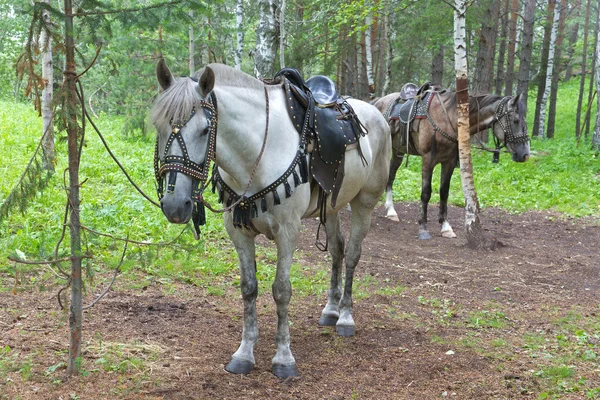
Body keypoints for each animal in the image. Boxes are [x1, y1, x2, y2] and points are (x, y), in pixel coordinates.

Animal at [376, 85, 528, 239]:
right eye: (516, 120)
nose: (525, 154)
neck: (449, 119)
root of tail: (378, 101)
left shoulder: (449, 162)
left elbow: (444, 192)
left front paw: (445, 226)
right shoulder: (427, 160)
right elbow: (426, 193)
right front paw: (423, 228)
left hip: (398, 151)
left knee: (391, 176)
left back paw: (391, 211)